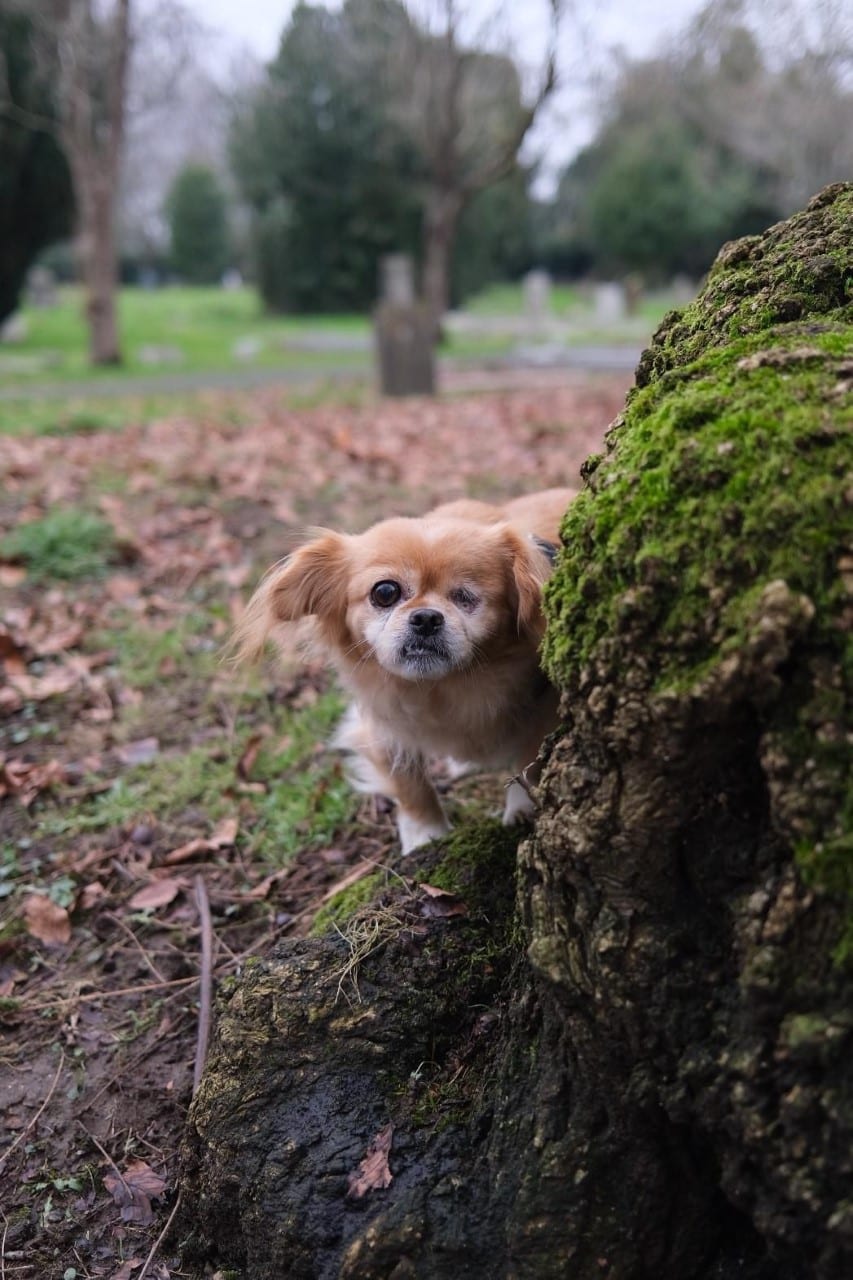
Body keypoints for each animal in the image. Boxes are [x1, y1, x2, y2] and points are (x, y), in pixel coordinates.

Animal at [233, 486, 571, 849]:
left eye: (465, 597)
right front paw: (425, 834)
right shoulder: (383, 722)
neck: (442, 690)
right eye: (385, 592)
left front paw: (523, 808)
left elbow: (530, 762)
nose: (426, 618)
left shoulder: (546, 709)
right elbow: (408, 782)